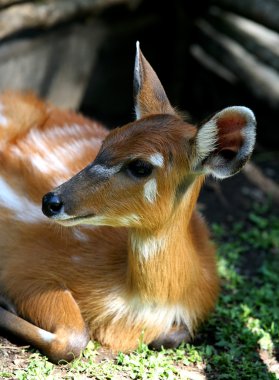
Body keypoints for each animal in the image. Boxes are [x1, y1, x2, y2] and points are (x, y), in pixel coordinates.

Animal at [0, 41, 258, 362]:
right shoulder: (24, 263)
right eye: (107, 141)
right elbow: (73, 338)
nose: (50, 201)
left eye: (140, 166)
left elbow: (172, 335)